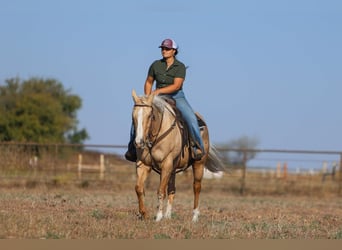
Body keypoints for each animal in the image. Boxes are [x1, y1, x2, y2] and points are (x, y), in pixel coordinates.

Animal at [131, 90, 224, 223]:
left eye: (150, 116)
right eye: (133, 117)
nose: (138, 142)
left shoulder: (166, 164)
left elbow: (161, 190)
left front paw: (158, 216)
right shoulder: (143, 164)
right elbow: (139, 188)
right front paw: (144, 213)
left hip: (199, 163)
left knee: (196, 187)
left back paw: (194, 216)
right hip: (173, 168)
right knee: (172, 189)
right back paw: (168, 215)